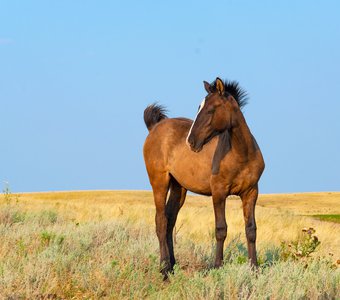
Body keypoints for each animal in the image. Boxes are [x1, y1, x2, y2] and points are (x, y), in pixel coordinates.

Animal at [142, 77, 264, 276]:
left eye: (211, 109)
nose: (191, 141)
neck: (242, 154)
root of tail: (154, 128)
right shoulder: (219, 193)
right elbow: (221, 229)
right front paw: (217, 266)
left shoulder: (251, 192)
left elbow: (251, 229)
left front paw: (254, 268)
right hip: (159, 182)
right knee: (160, 221)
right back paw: (164, 268)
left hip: (179, 188)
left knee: (170, 221)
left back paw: (173, 264)